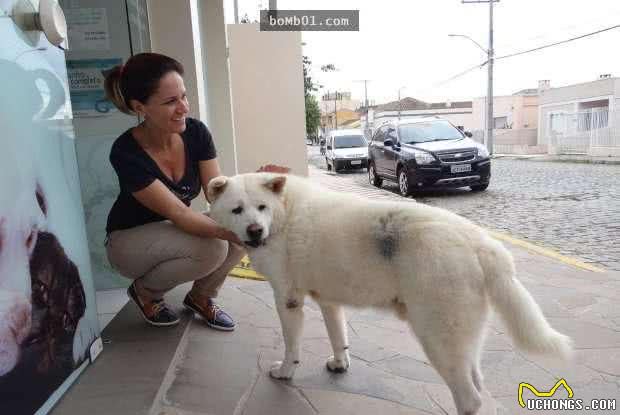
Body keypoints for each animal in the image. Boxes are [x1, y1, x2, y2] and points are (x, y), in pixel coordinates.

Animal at [207, 173, 572, 415]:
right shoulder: (329, 300)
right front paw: (340, 363)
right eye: (238, 210)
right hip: (463, 341)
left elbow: (291, 346)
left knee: (470, 398)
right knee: (478, 387)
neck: (283, 213)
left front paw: (285, 371)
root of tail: (481, 243)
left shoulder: (288, 300)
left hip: (438, 339)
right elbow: (338, 336)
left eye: (261, 207)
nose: (255, 231)